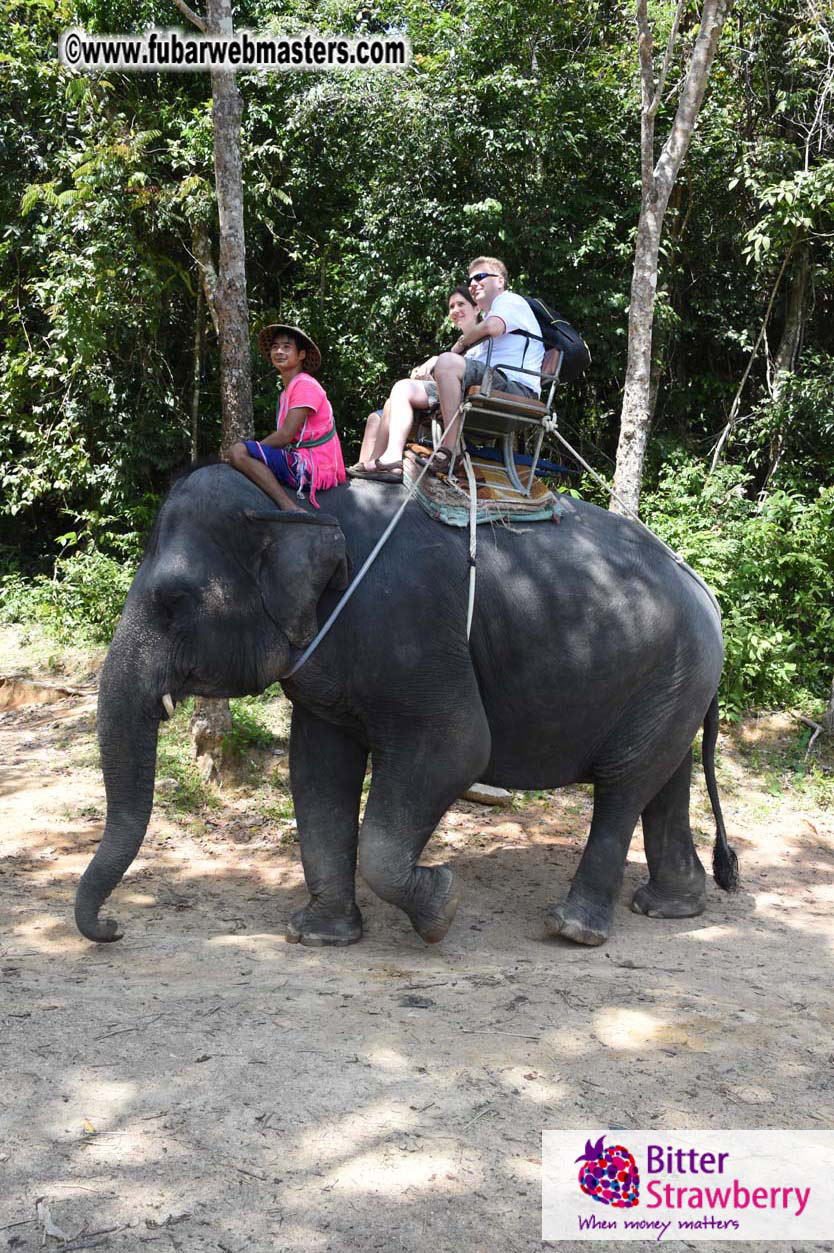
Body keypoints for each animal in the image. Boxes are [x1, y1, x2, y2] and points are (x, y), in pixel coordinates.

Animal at [75, 462, 737, 949]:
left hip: (669, 671)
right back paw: (671, 907)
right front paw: (320, 937)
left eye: (174, 601)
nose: (114, 927)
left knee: (624, 786)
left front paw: (442, 901)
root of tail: (705, 590)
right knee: (664, 777)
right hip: (674, 681)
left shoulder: (411, 630)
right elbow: (316, 769)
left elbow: (459, 747)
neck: (294, 502)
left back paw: (572, 929)